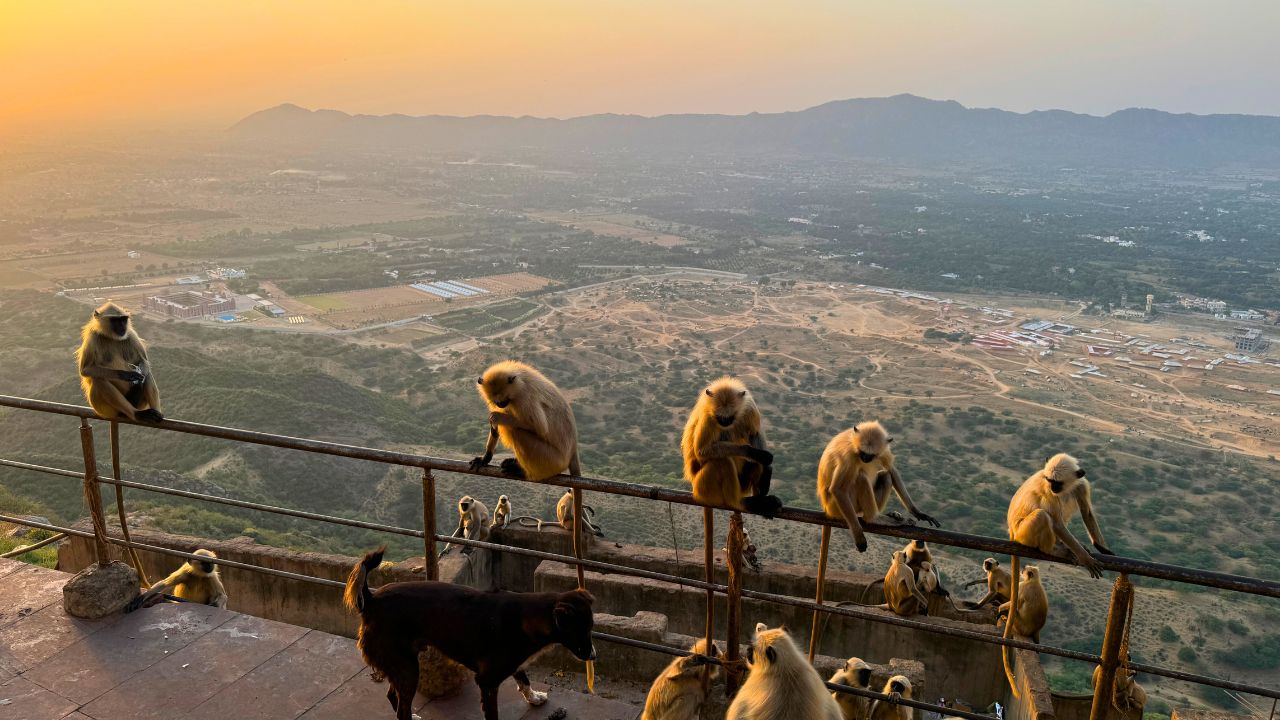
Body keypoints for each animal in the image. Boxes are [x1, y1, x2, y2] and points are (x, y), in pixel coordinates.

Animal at [343, 543, 596, 717]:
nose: (593, 656)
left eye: (591, 627)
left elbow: (524, 679)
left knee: (392, 697)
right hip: (406, 667)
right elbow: (493, 713)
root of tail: (371, 600)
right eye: (580, 630)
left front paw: (533, 698)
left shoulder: (511, 665)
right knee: (401, 711)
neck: (529, 617)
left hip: (401, 665)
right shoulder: (487, 680)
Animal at [680, 376, 778, 515]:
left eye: (730, 417)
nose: (724, 423)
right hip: (702, 488)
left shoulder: (749, 408)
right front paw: (751, 452)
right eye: (720, 417)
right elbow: (702, 451)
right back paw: (741, 503)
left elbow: (754, 434)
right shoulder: (709, 415)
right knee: (722, 461)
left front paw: (766, 467)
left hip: (742, 484)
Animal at [819, 417, 942, 550]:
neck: (852, 440)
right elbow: (838, 489)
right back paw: (874, 518)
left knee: (885, 476)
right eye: (862, 453)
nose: (865, 459)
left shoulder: (883, 450)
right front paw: (859, 536)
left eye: (871, 455)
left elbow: (891, 470)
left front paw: (917, 512)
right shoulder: (848, 455)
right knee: (860, 477)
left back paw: (889, 515)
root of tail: (827, 508)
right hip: (837, 507)